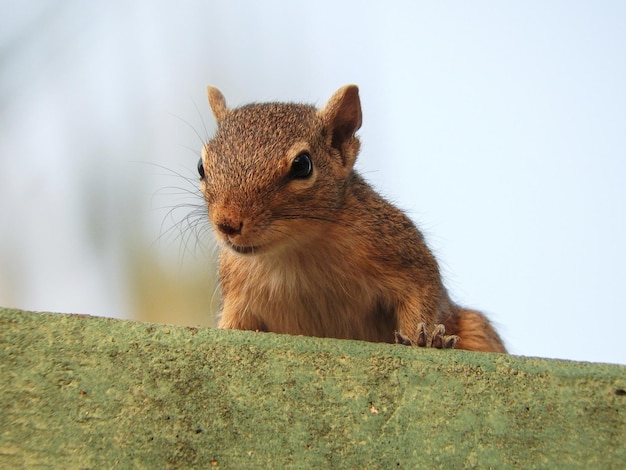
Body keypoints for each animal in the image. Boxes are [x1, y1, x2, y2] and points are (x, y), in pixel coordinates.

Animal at [197, 84, 504, 352]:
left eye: (302, 165)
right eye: (201, 166)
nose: (227, 223)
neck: (295, 251)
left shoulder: (396, 247)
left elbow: (422, 294)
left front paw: (425, 338)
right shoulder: (237, 293)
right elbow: (234, 325)